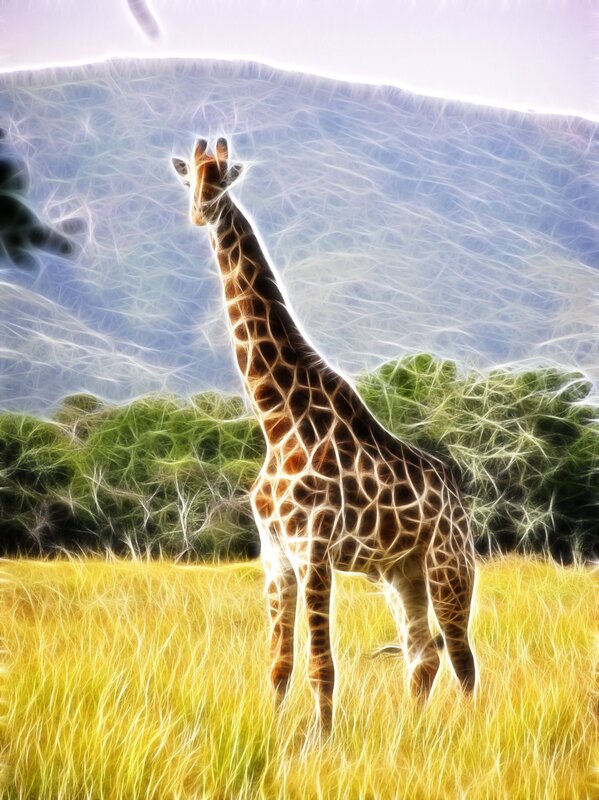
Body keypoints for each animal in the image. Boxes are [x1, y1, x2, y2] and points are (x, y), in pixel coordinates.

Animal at [172, 138, 477, 733]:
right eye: (190, 178)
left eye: (223, 177)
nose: (201, 211)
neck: (277, 418)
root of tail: (461, 505)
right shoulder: (274, 552)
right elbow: (278, 662)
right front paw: (271, 733)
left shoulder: (312, 546)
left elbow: (321, 663)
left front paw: (321, 742)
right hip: (398, 573)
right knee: (422, 654)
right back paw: (408, 733)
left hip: (448, 568)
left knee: (462, 658)